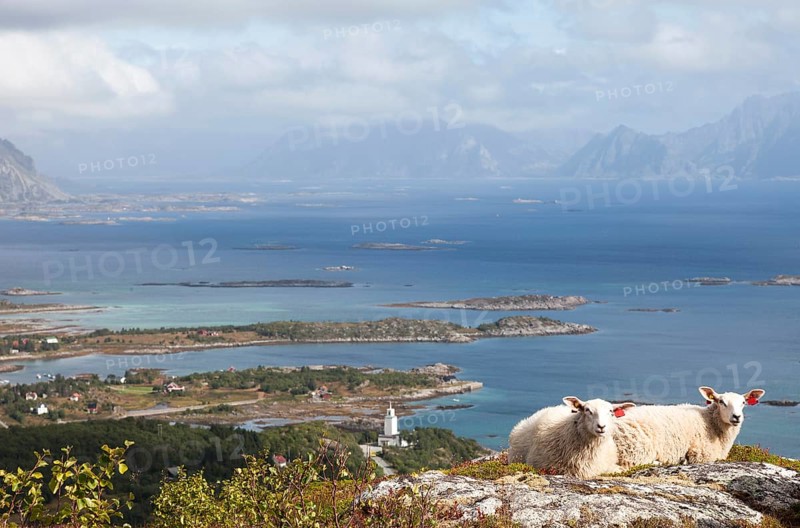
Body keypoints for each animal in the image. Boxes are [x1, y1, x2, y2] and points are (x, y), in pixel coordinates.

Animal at [614, 386, 765, 468]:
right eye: (721, 402)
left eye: (743, 402)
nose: (737, 417)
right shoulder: (702, 455)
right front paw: (684, 460)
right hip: (638, 450)